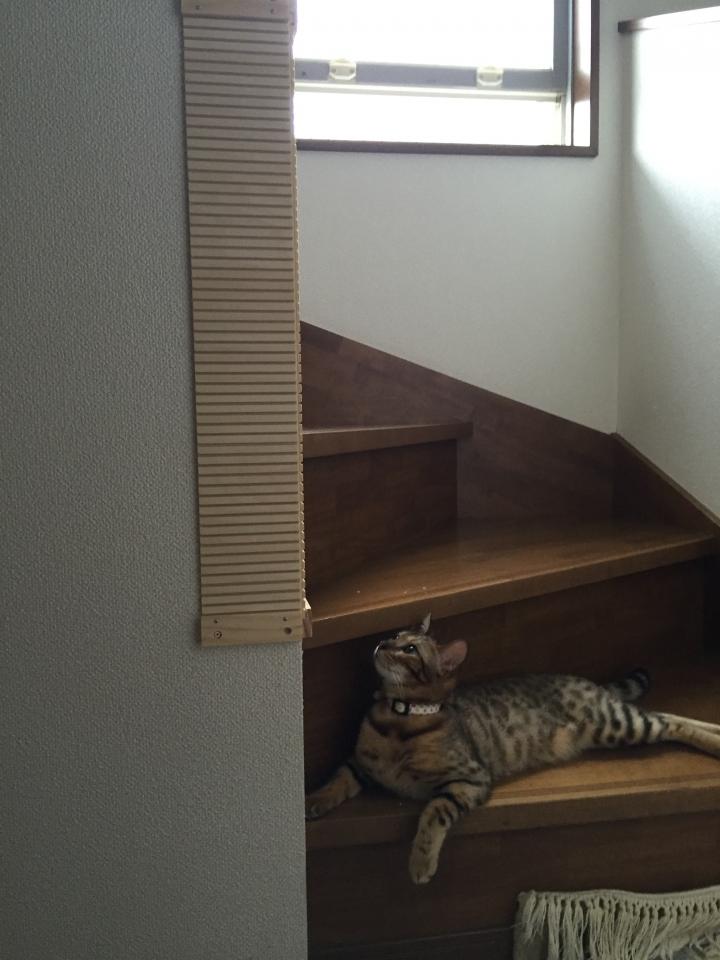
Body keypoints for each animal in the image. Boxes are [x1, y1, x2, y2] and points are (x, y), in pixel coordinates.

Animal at [305, 614, 720, 885]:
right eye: (393, 636)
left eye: (409, 648)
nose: (380, 643)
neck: (398, 715)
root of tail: (589, 683)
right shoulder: (359, 764)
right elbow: (336, 781)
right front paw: (313, 801)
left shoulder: (469, 780)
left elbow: (432, 813)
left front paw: (420, 863)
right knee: (665, 715)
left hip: (615, 724)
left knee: (669, 719)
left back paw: (714, 739)